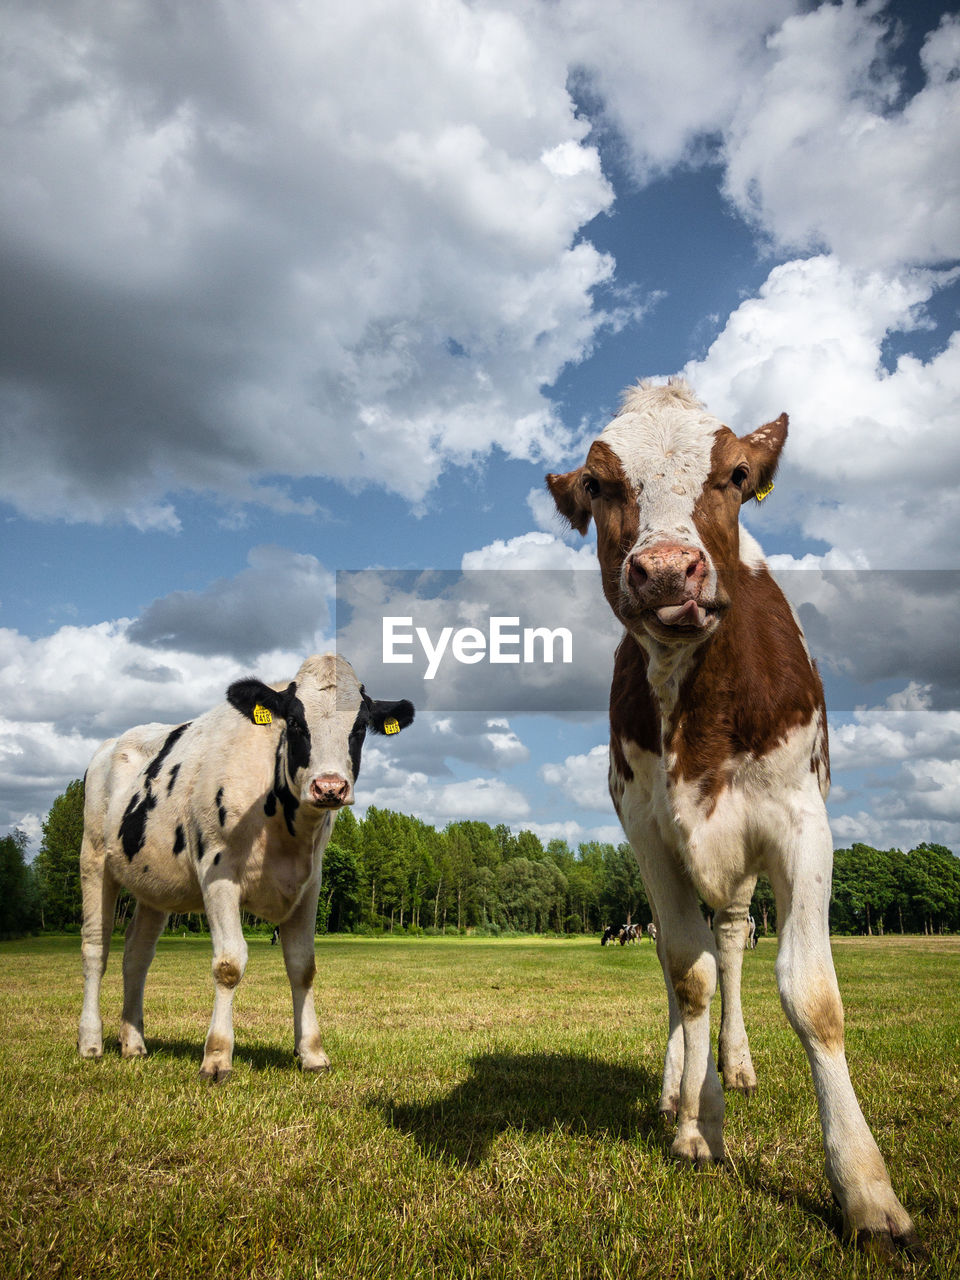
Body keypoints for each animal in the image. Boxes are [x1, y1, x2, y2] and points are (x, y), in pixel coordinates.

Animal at [78, 650, 414, 1080]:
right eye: (296, 723)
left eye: (359, 728)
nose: (330, 788)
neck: (284, 832)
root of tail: (110, 745)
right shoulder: (218, 875)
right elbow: (229, 964)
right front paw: (217, 1057)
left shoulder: (310, 885)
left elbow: (303, 966)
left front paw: (312, 1052)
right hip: (93, 858)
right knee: (96, 947)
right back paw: (90, 1042)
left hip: (154, 887)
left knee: (136, 954)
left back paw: (134, 1043)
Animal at [547, 378, 916, 1249]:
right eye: (598, 484)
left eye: (738, 475)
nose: (665, 571)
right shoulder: (648, 835)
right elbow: (687, 977)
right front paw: (696, 1121)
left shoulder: (801, 826)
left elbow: (811, 995)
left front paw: (865, 1188)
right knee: (687, 963)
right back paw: (677, 1086)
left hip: (747, 870)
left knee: (739, 944)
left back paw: (737, 1063)